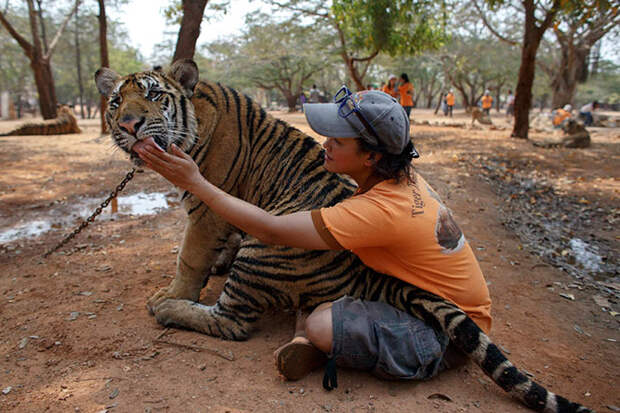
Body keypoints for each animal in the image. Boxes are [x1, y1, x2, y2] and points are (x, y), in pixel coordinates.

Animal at [93, 58, 592, 412]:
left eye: (154, 96)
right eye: (116, 103)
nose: (128, 125)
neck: (195, 120)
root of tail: (367, 276)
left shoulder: (206, 210)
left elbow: (189, 256)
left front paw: (173, 291)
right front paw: (206, 270)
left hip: (264, 244)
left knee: (232, 321)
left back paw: (171, 309)